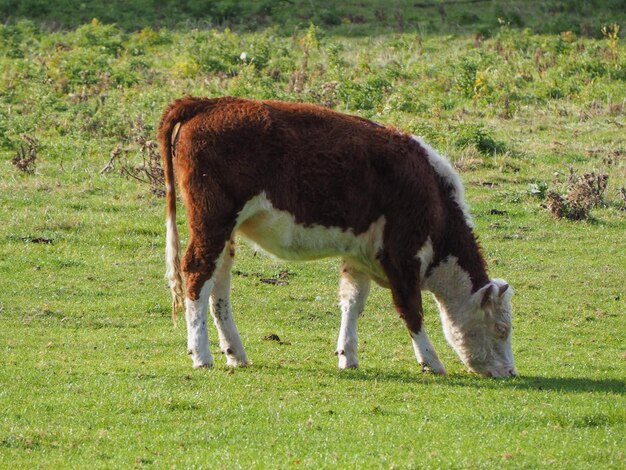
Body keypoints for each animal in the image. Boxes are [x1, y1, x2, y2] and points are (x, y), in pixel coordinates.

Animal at [157, 96, 516, 378]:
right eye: (502, 329)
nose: (510, 372)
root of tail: (210, 102)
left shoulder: (360, 255)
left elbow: (352, 303)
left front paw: (348, 356)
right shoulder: (402, 254)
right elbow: (410, 308)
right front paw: (430, 361)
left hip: (224, 232)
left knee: (218, 285)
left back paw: (236, 354)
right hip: (212, 221)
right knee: (197, 273)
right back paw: (201, 355)